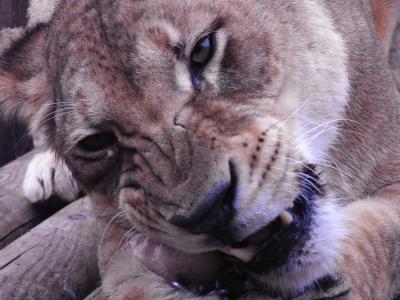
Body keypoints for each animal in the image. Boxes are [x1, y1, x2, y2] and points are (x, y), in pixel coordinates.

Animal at [0, 0, 400, 298]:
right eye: (97, 142)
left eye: (204, 50)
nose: (209, 215)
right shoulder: (116, 235)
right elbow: (131, 287)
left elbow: (377, 240)